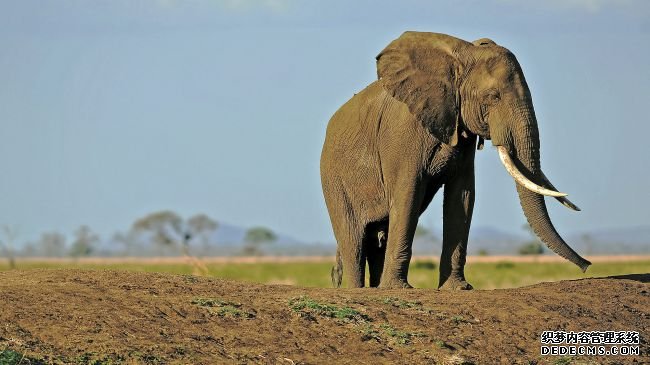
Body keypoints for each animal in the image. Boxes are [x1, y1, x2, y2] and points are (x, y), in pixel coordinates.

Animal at [322, 31, 588, 288]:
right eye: (493, 97)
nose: (587, 265)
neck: (461, 56)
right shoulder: (403, 134)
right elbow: (407, 195)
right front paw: (398, 289)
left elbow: (462, 196)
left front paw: (457, 288)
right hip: (334, 180)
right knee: (354, 241)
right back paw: (359, 289)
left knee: (378, 237)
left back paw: (375, 287)